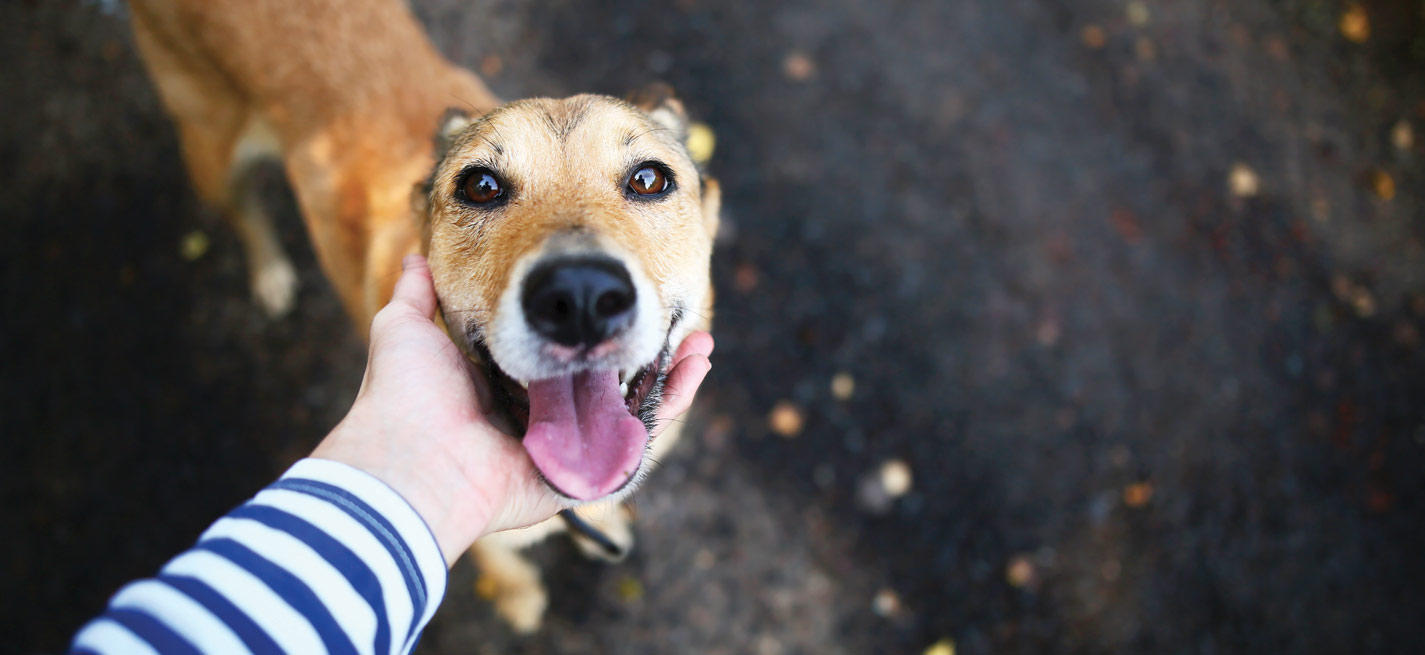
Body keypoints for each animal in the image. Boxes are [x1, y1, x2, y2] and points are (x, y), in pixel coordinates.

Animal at [129, 1, 718, 635]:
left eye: (649, 179)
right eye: (480, 186)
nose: (580, 297)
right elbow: (500, 564)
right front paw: (518, 597)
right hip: (210, 149)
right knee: (242, 210)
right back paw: (270, 271)